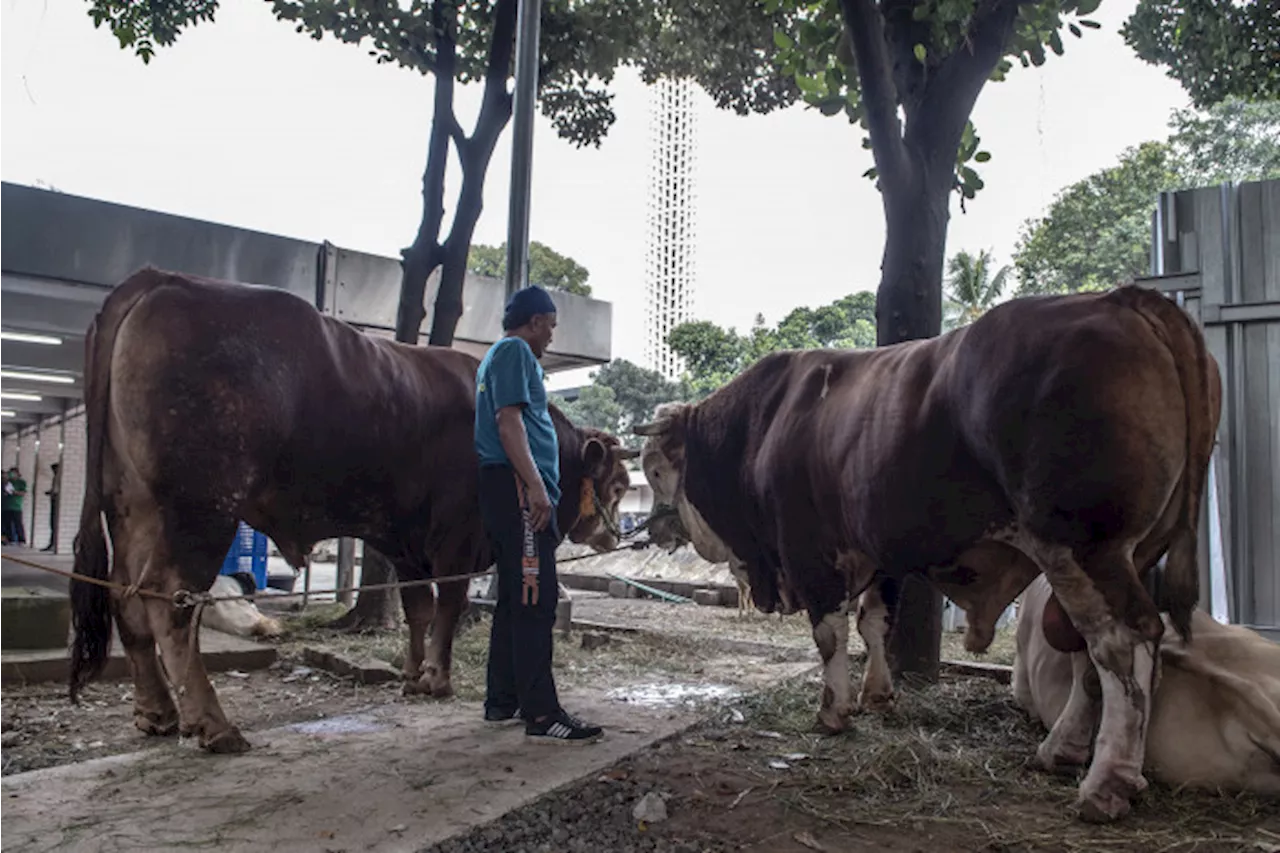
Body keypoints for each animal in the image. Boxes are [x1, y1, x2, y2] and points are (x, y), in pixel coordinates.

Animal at [64, 266, 634, 753]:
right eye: (619, 484)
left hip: (132, 506)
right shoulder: (456, 536)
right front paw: (437, 678)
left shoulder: (406, 541)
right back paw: (213, 724)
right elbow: (447, 605)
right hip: (200, 509)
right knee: (170, 601)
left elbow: (417, 607)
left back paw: (156, 711)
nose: (617, 536)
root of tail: (160, 279)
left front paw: (412, 675)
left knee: (124, 594)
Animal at [637, 284, 1218, 819]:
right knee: (1089, 652)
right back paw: (1061, 750)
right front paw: (877, 695)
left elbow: (830, 635)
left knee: (1119, 644)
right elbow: (875, 624)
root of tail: (1119, 298)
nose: (655, 527)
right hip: (1121, 556)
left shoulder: (812, 552)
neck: (765, 423)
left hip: (1082, 548)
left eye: (655, 469)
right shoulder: (876, 554)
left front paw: (833, 711)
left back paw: (1106, 782)